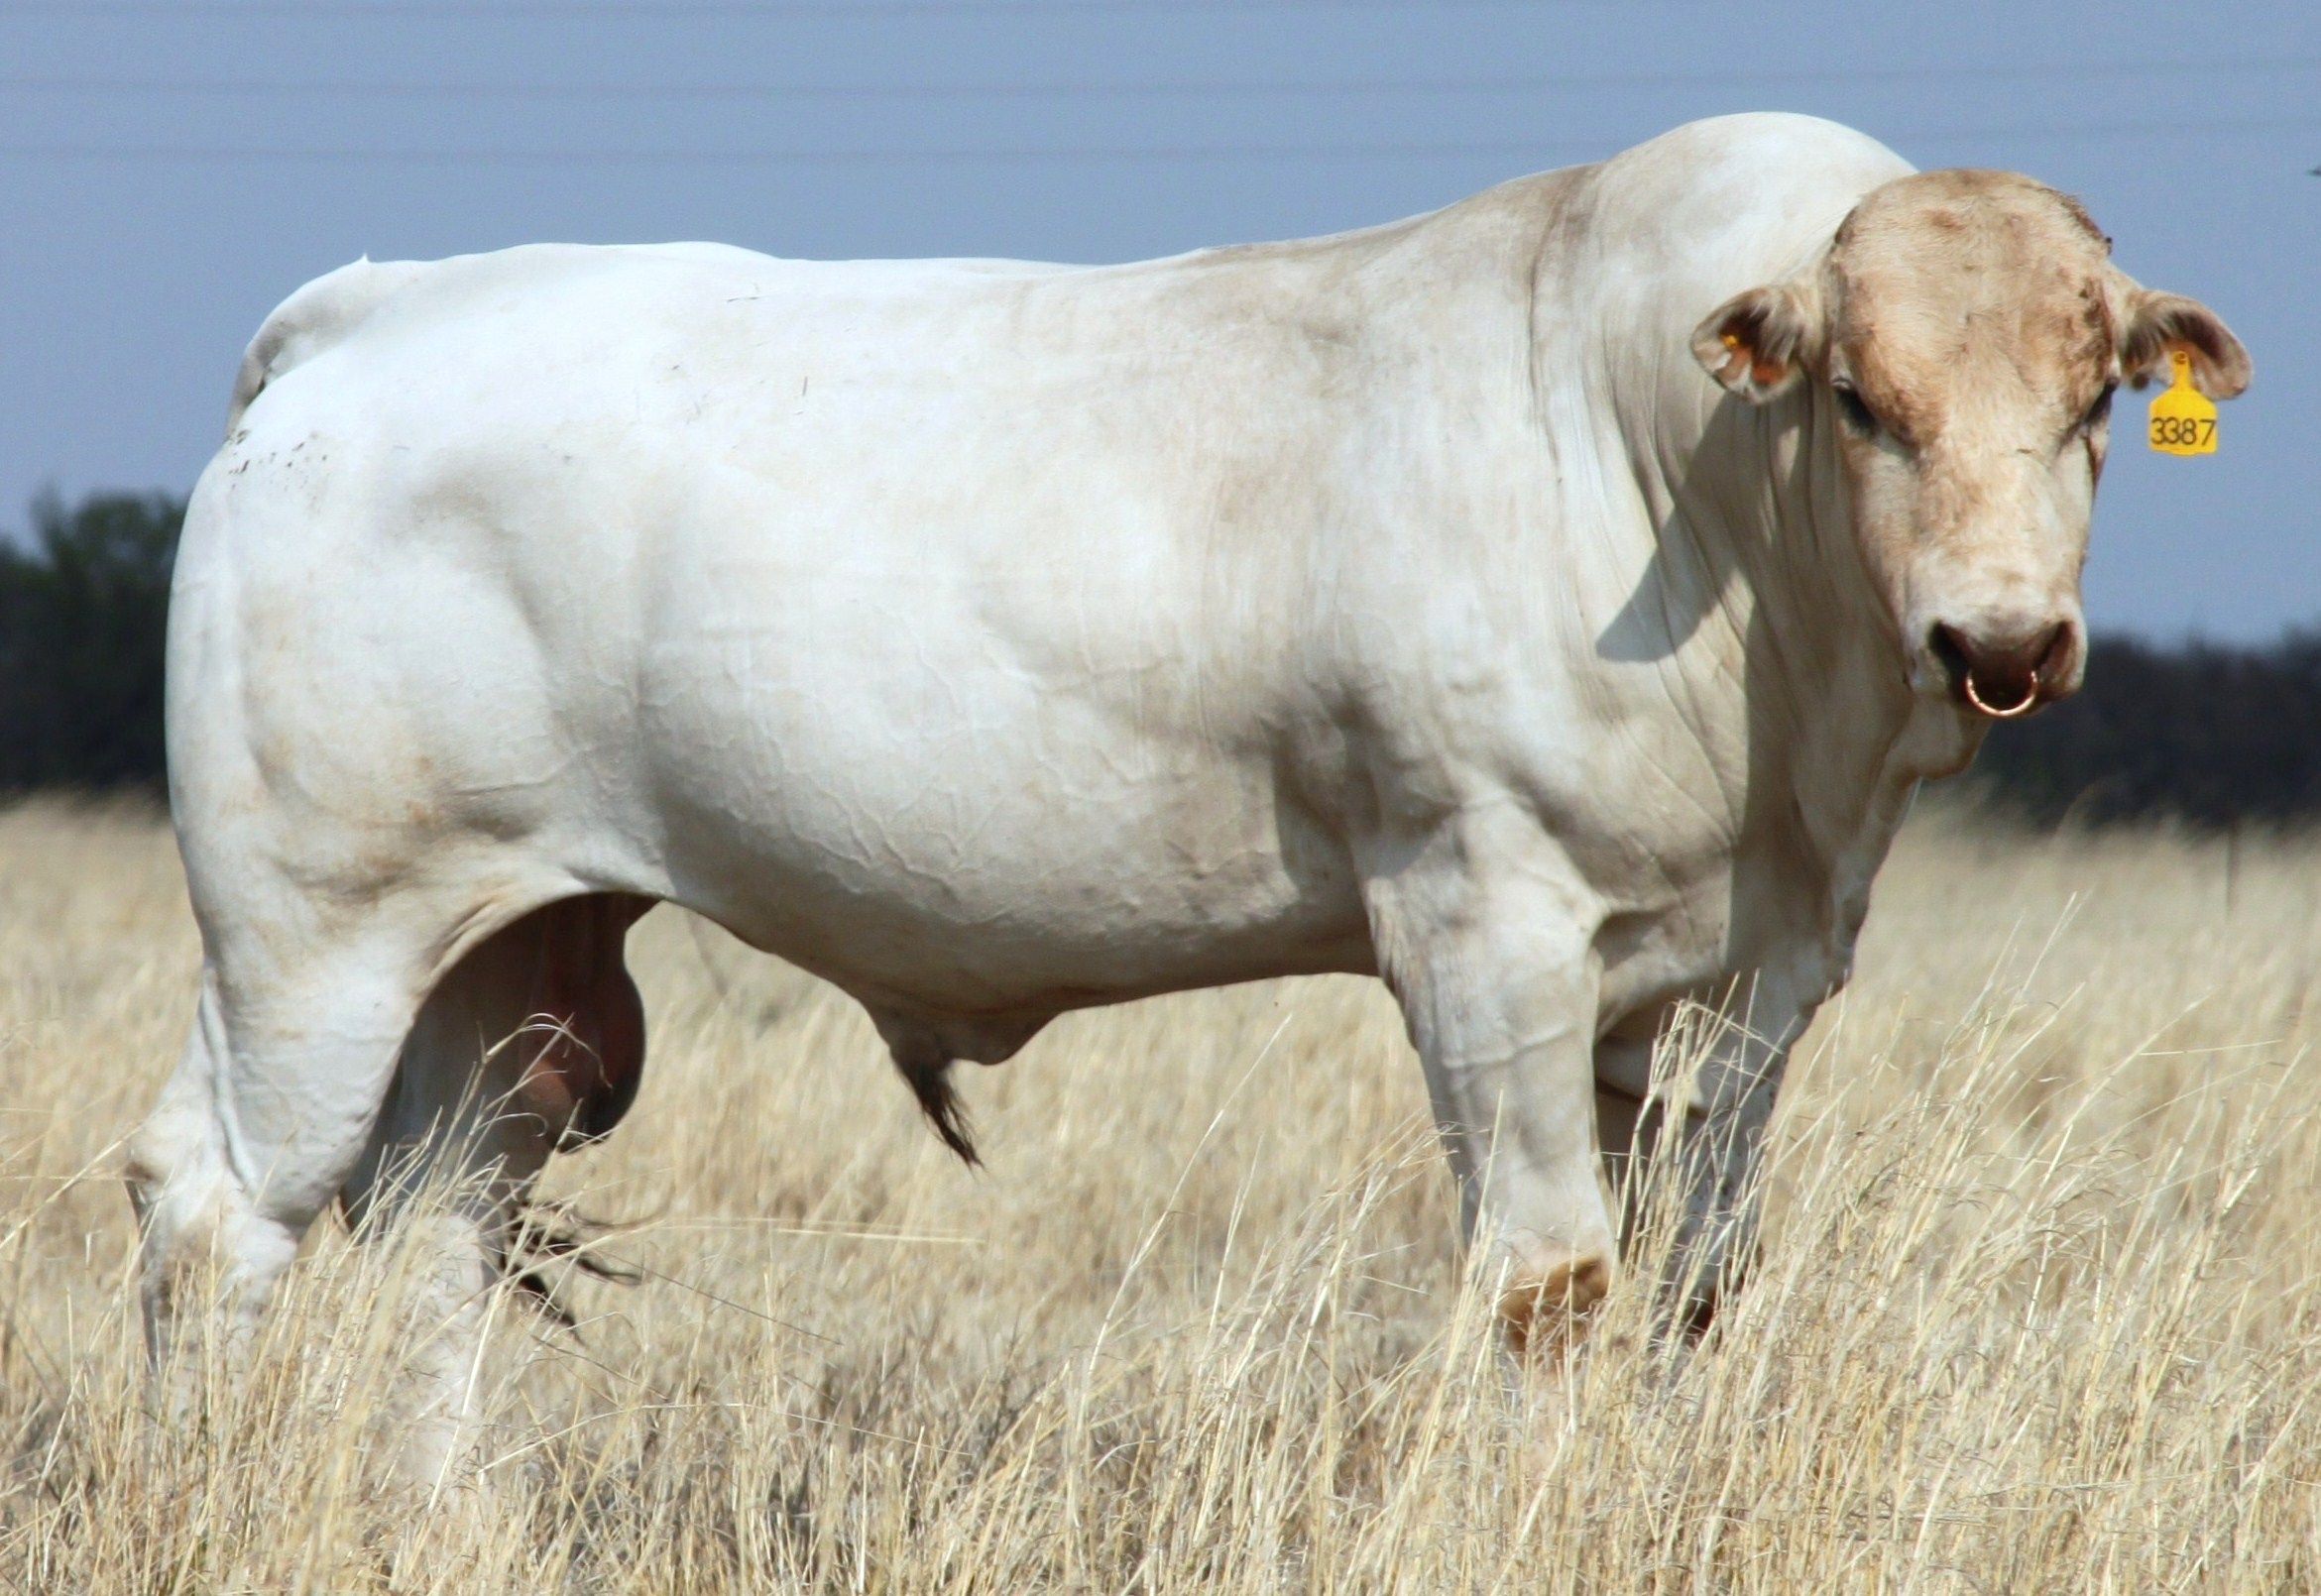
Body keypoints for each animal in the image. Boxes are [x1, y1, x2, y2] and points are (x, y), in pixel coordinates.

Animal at [127, 113, 2248, 1477]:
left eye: (2091, 404)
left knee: (441, 1226)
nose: (2000, 637)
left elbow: (1686, 1291)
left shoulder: (1744, 979)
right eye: (1865, 403)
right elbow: (1548, 1286)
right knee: (216, 1207)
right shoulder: (1480, 916)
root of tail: (373, 313)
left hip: (504, 943)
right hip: (307, 928)